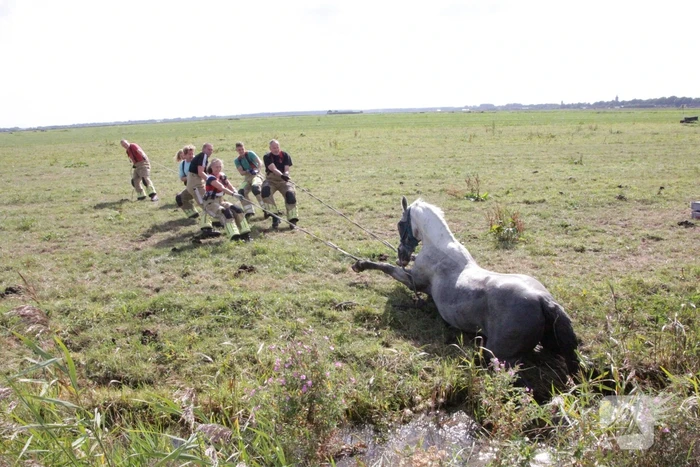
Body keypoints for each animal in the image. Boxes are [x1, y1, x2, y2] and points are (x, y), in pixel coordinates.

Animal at [352, 197, 580, 375]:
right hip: (550, 345)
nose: (402, 256)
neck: (439, 248)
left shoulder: (412, 281)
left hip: (502, 357)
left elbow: (386, 268)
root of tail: (543, 300)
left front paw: (360, 265)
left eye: (400, 223)